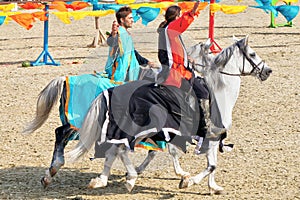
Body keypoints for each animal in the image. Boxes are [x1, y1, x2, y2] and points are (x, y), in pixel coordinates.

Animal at [67, 35, 272, 193]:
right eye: (252, 54)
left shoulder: (209, 137)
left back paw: (101, 180)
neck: (219, 92)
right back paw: (130, 178)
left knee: (114, 151)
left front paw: (213, 187)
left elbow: (211, 163)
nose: (268, 71)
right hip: (141, 129)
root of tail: (114, 91)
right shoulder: (210, 135)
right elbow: (210, 164)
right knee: (122, 149)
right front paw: (188, 181)